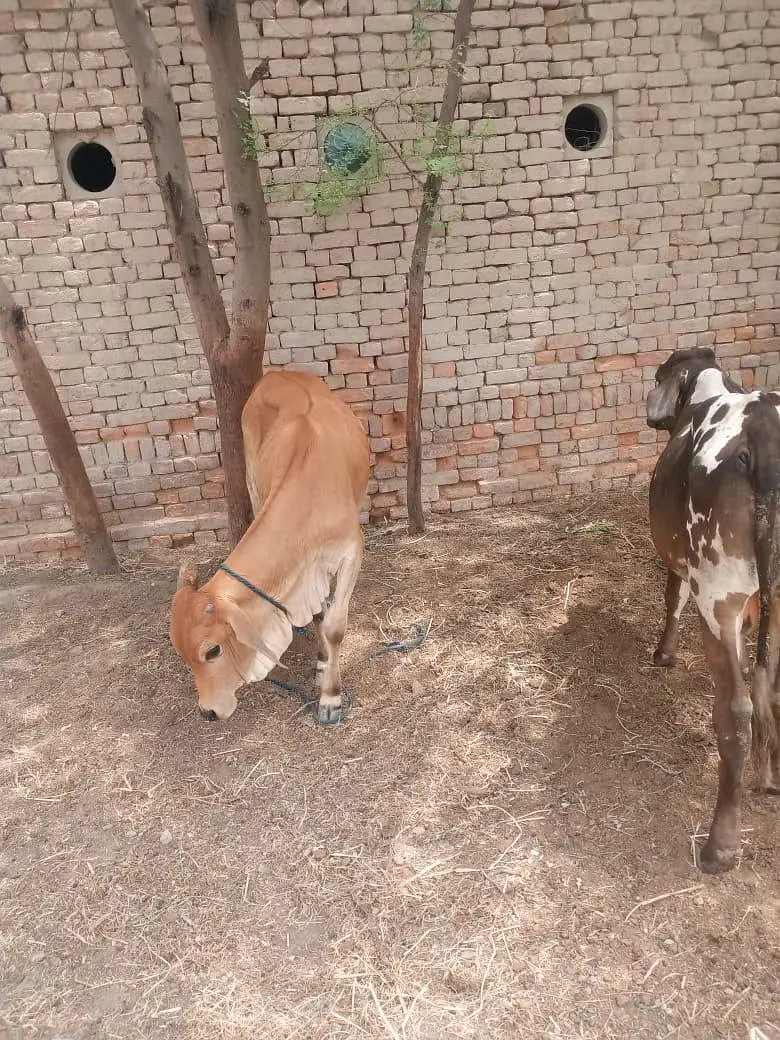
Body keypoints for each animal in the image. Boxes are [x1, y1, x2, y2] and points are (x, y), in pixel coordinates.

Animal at [170, 369, 370, 726]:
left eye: (212, 651)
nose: (208, 712)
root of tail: (278, 372)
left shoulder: (351, 551)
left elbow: (334, 625)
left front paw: (330, 698)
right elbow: (319, 613)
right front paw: (321, 662)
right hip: (253, 481)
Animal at [647, 346, 780, 872]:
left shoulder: (683, 566)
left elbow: (672, 598)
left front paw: (663, 655)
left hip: (718, 596)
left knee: (736, 713)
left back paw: (720, 846)